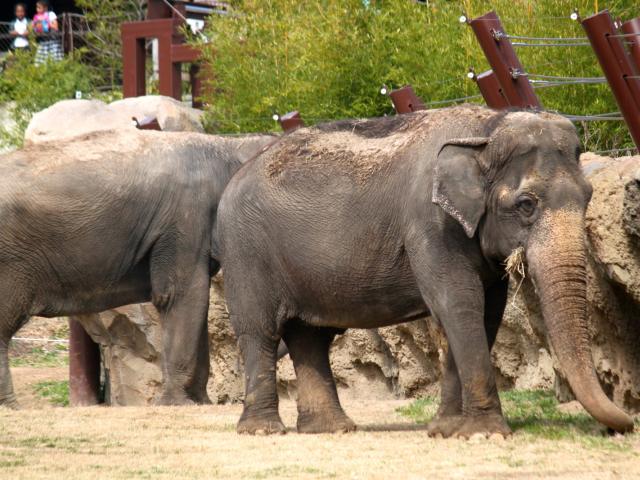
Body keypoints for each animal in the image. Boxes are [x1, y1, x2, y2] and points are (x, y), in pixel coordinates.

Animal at [0, 128, 274, 408]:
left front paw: (201, 402)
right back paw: (10, 406)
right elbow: (182, 295)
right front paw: (177, 404)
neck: (229, 143)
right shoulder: (187, 218)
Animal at [219, 106, 636, 438]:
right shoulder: (430, 225)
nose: (623, 426)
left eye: (588, 197)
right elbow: (459, 304)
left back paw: (331, 429)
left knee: (309, 337)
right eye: (526, 205)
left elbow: (484, 313)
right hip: (245, 251)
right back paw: (263, 430)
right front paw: (485, 434)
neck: (485, 129)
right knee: (261, 332)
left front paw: (446, 430)